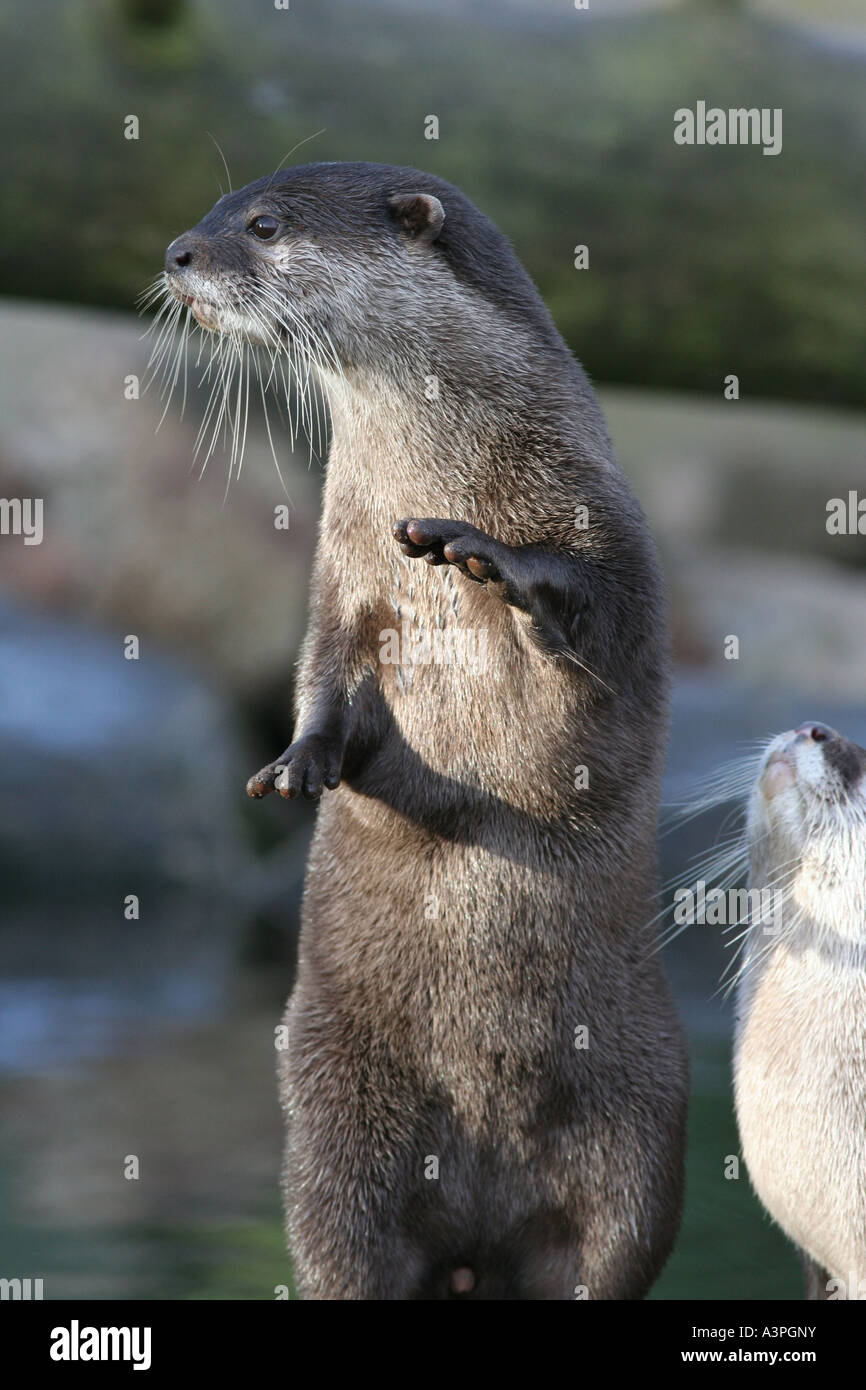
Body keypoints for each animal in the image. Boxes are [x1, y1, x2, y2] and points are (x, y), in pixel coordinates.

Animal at [161, 162, 688, 1300]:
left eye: (263, 224)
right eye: (221, 208)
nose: (178, 252)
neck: (440, 471)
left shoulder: (615, 538)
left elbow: (606, 622)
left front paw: (504, 566)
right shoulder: (341, 579)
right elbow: (321, 679)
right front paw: (297, 763)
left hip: (641, 1124)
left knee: (612, 1245)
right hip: (333, 1126)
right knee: (344, 1241)